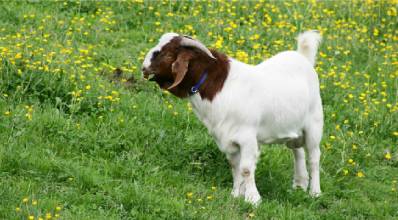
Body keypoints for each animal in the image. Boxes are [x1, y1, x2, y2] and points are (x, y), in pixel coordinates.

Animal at [142, 30, 324, 205]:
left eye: (166, 54)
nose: (143, 67)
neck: (220, 87)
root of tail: (303, 58)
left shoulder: (248, 137)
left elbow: (246, 168)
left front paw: (253, 199)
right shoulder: (227, 138)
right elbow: (235, 167)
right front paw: (236, 194)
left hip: (314, 124)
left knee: (314, 157)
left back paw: (314, 192)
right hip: (292, 126)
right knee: (297, 151)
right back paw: (299, 185)